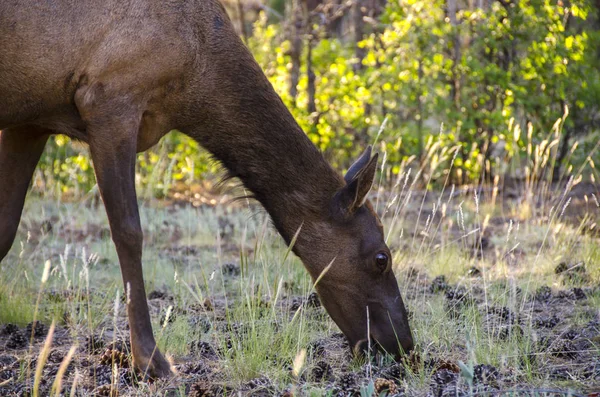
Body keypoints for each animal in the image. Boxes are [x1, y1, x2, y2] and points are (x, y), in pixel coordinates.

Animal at [0, 0, 412, 376]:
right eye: (382, 258)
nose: (403, 345)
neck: (195, 84)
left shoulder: (32, 120)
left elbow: (6, 232)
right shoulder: (109, 102)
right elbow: (129, 233)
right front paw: (151, 360)